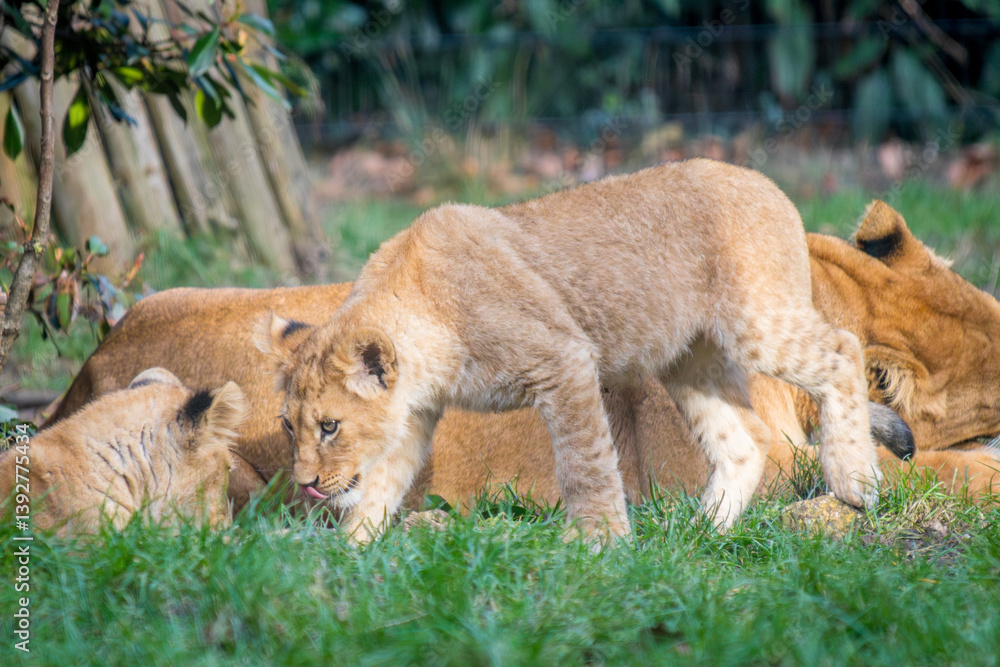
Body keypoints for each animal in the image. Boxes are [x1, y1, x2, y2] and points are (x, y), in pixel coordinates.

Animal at [255, 159, 880, 541]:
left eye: (330, 427)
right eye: (288, 426)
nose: (306, 482)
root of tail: (763, 180)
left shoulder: (565, 361)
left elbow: (585, 464)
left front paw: (599, 544)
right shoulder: (413, 415)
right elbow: (379, 487)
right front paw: (349, 556)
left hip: (757, 322)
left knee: (844, 348)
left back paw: (856, 478)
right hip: (689, 357)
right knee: (747, 437)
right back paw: (700, 532)